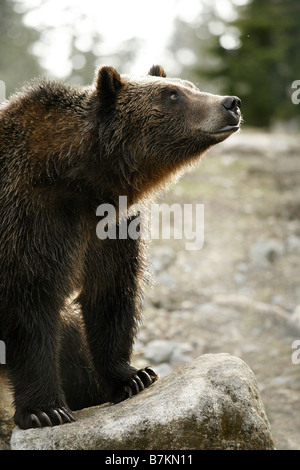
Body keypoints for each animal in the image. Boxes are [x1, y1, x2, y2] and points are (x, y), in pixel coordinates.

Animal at [0, 64, 241, 428]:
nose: (230, 103)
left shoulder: (111, 226)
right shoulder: (30, 214)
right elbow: (30, 302)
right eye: (172, 94)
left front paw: (132, 377)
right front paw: (45, 410)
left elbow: (110, 292)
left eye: (190, 85)